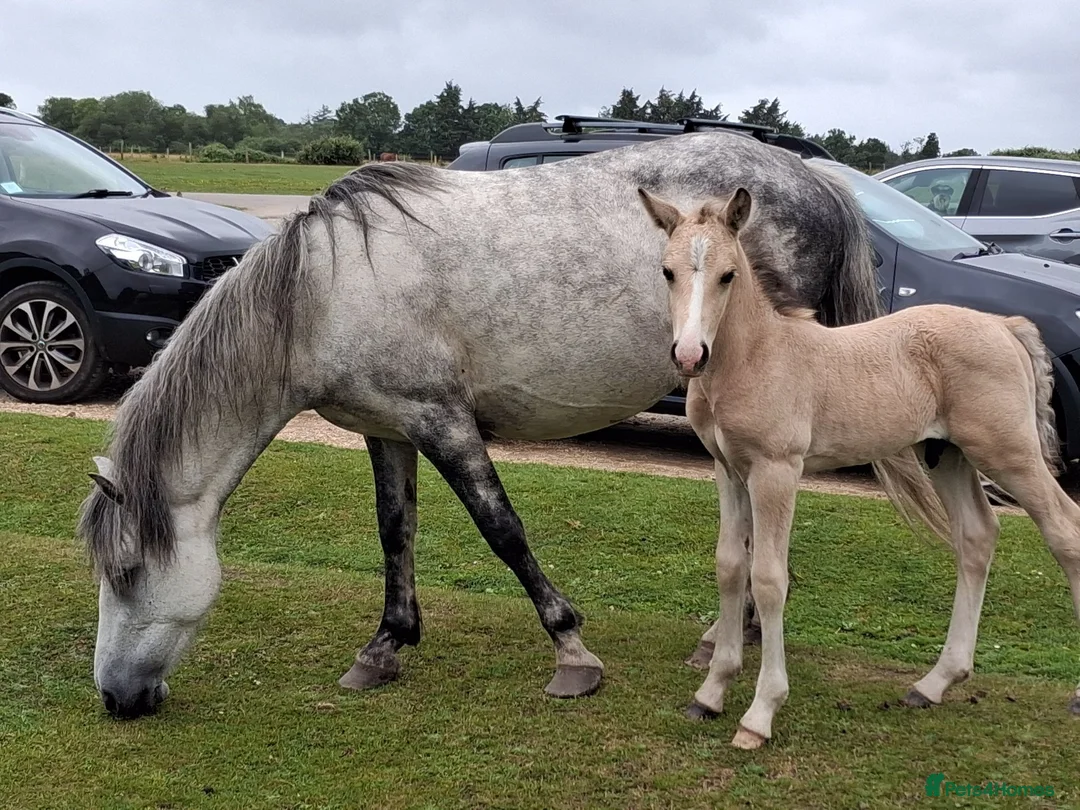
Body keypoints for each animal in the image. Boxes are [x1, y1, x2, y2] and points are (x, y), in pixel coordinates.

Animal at [77, 131, 887, 720]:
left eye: (128, 571)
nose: (116, 698)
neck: (321, 292)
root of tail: (814, 179)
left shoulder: (443, 422)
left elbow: (502, 529)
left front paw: (572, 654)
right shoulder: (388, 428)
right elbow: (394, 530)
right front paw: (385, 646)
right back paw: (727, 634)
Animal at [637, 184, 1080, 749]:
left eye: (728, 275)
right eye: (667, 271)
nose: (690, 355)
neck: (757, 356)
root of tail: (1005, 326)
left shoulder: (777, 471)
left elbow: (769, 579)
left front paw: (760, 713)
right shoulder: (729, 471)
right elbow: (731, 567)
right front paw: (711, 692)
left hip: (1010, 453)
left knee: (1065, 530)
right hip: (948, 455)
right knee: (978, 537)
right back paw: (933, 683)